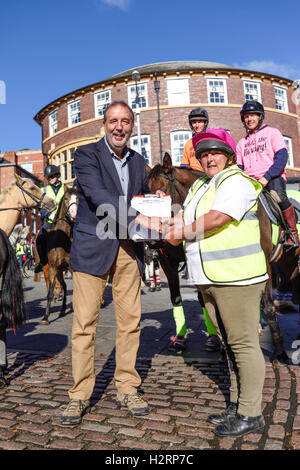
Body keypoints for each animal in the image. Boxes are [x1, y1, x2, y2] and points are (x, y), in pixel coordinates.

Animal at [40, 185, 78, 324]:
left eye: (78, 198)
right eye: (66, 198)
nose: (74, 214)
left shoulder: (71, 269)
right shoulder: (52, 268)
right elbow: (50, 293)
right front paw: (46, 317)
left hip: (61, 271)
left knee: (65, 286)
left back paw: (62, 310)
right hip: (53, 270)